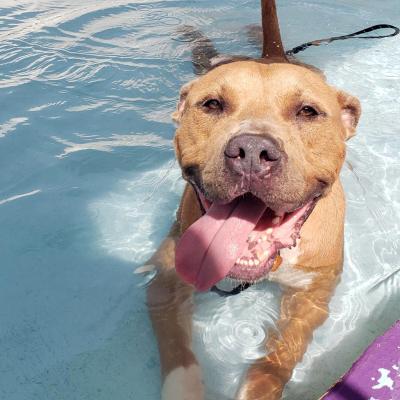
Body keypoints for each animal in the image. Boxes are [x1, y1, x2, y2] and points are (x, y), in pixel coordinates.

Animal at [145, 1, 360, 398]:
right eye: (212, 104)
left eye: (308, 111)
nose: (252, 151)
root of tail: (271, 53)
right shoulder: (165, 282)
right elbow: (177, 353)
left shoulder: (314, 293)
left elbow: (280, 357)